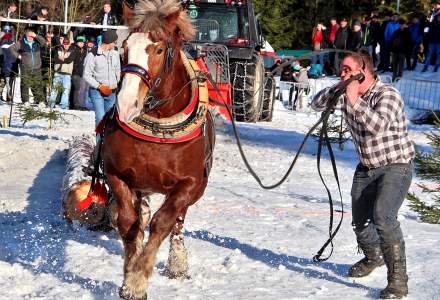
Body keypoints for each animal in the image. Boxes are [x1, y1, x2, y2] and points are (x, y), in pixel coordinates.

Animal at [100, 1, 216, 298]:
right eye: (124, 47)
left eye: (159, 49)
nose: (126, 104)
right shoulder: (117, 174)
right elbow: (129, 222)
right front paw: (129, 272)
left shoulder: (189, 184)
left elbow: (163, 222)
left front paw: (138, 280)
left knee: (177, 222)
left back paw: (178, 262)